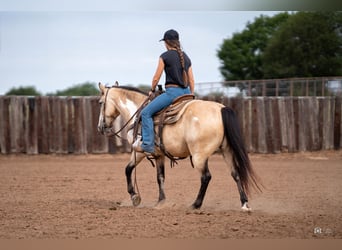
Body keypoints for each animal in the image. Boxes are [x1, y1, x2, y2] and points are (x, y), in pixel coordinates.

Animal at [97, 82, 260, 211]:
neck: (137, 113)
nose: (100, 127)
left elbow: (128, 169)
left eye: (100, 102)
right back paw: (244, 204)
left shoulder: (140, 151)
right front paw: (161, 201)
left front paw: (134, 196)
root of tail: (221, 109)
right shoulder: (159, 154)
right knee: (235, 173)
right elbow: (160, 177)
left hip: (199, 156)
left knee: (206, 177)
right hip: (226, 151)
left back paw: (195, 204)